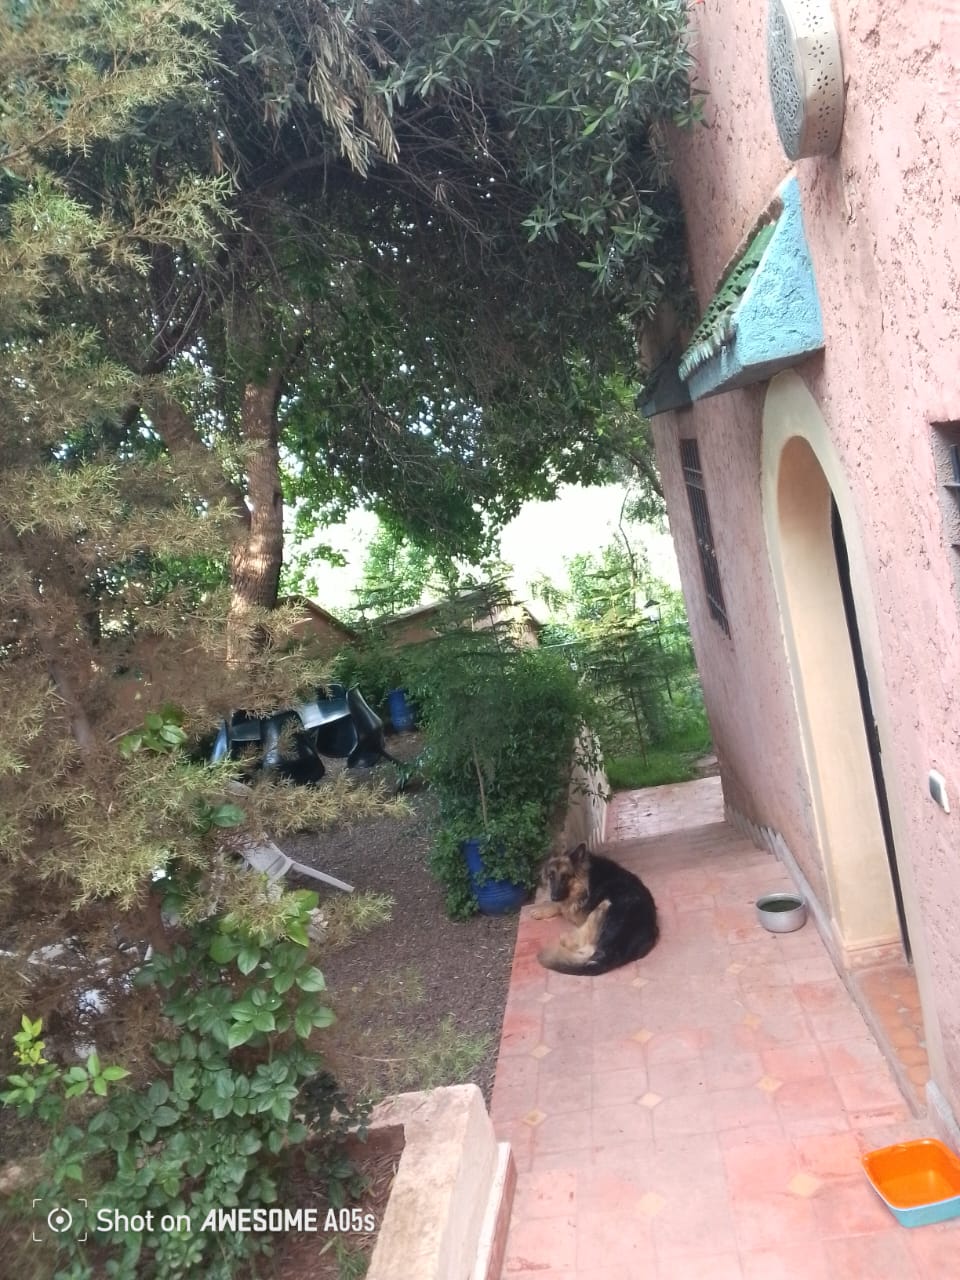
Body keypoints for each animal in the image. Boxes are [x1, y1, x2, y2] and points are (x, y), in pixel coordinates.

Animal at [532, 843, 658, 976]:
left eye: (565, 877)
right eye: (551, 876)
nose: (554, 897)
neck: (586, 874)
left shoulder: (578, 912)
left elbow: (562, 906)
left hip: (604, 905)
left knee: (580, 943)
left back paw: (565, 938)